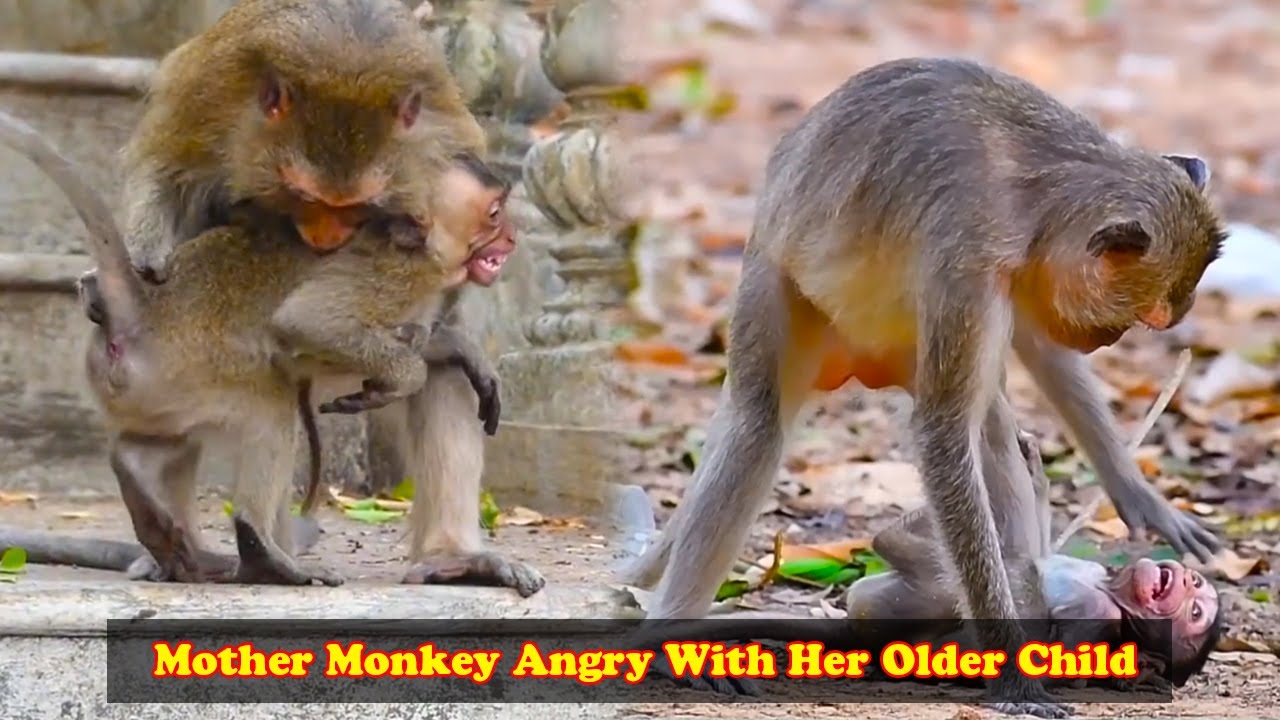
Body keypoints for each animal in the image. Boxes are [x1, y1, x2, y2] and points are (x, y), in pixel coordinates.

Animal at [0, 108, 527, 590]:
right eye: (494, 214)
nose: (512, 237)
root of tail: (138, 308)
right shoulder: (397, 274)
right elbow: (306, 325)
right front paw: (405, 373)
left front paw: (453, 347)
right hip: (192, 366)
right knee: (271, 407)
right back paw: (263, 553)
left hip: (147, 391)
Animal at [119, 0, 486, 283]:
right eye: (305, 197)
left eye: (358, 205)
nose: (325, 241)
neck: (347, 69)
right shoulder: (210, 101)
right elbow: (166, 168)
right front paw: (146, 252)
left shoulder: (444, 140)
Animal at [622, 57, 1226, 717]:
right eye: (1139, 318)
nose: (1107, 341)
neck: (1036, 201)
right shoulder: (968, 264)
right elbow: (941, 432)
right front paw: (1011, 673)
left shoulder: (1012, 276)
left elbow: (1034, 350)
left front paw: (1134, 490)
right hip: (779, 280)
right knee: (761, 423)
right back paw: (672, 640)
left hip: (903, 342)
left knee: (985, 417)